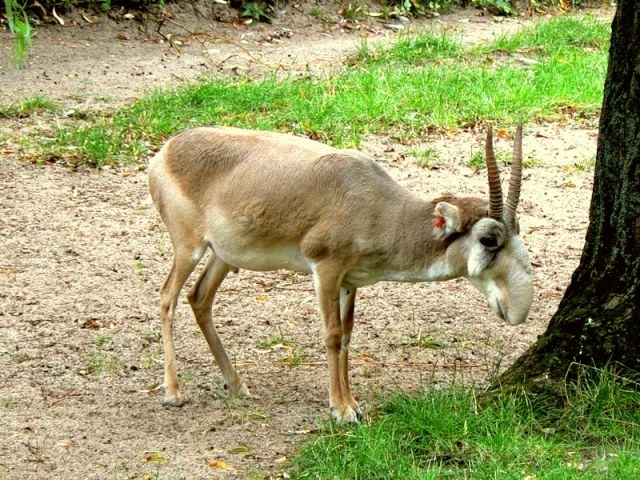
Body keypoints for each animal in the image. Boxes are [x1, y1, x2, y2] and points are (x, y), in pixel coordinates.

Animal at [148, 124, 532, 424]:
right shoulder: (326, 270)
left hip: (223, 256)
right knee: (167, 297)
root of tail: (166, 151)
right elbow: (332, 335)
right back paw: (173, 392)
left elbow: (347, 337)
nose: (517, 310)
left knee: (199, 297)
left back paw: (238, 385)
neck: (376, 205)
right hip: (189, 248)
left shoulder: (350, 281)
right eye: (488, 239)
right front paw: (341, 411)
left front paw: (353, 404)